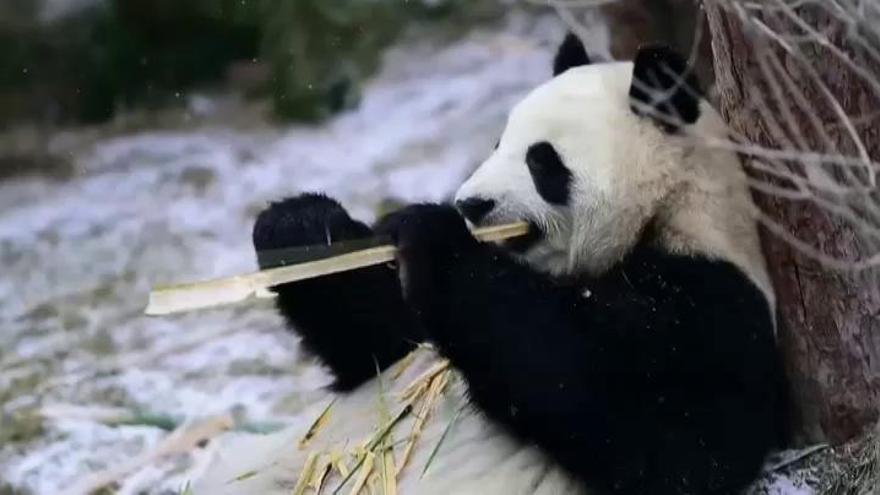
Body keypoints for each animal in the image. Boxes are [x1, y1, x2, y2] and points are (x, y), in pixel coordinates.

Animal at [196, 35, 788, 495]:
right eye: (498, 142)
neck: (666, 212)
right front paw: (300, 226)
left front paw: (437, 240)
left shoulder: (710, 311)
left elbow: (647, 429)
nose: (470, 204)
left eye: (542, 161)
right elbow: (379, 339)